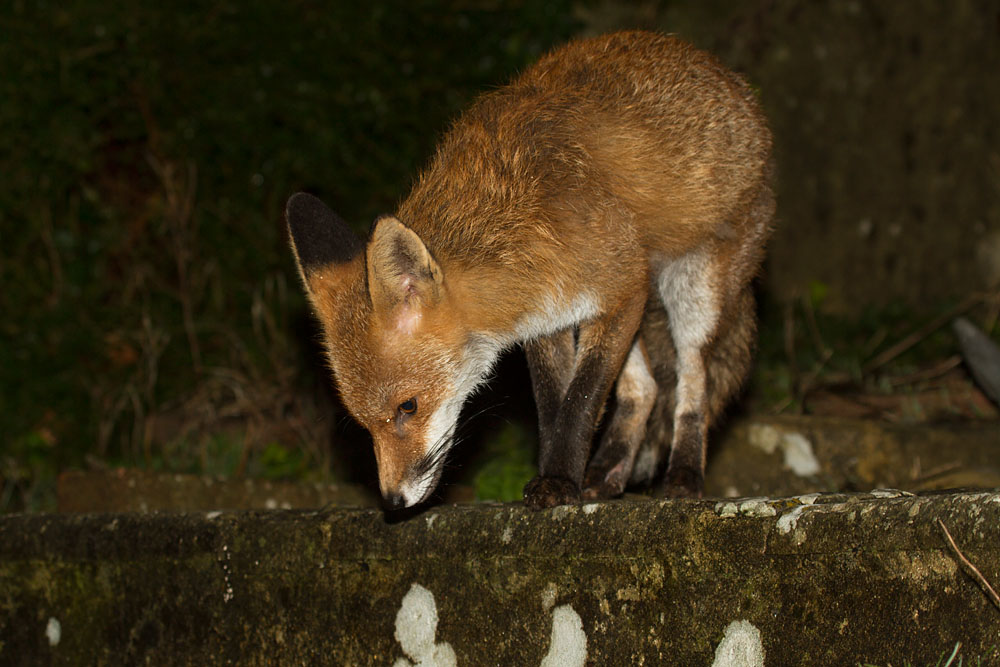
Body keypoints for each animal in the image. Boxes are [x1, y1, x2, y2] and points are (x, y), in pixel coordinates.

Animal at [286, 30, 774, 510]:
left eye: (408, 407)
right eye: (363, 422)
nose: (392, 501)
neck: (520, 221)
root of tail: (727, 77)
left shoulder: (620, 290)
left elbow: (581, 400)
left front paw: (557, 482)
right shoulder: (547, 319)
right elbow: (554, 404)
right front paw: (560, 474)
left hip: (691, 290)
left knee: (693, 380)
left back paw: (684, 475)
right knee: (647, 388)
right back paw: (604, 476)